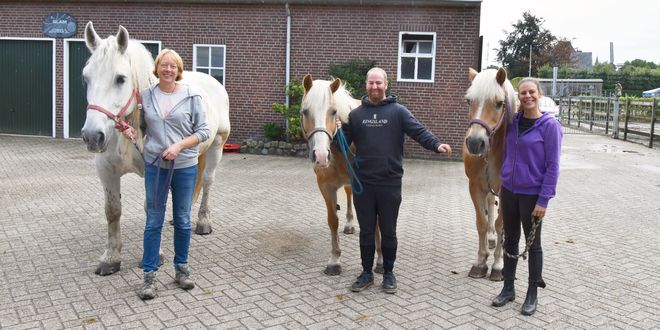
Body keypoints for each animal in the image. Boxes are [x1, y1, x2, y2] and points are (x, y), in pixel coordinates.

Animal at [80, 21, 231, 276]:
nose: (92, 136)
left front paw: (154, 256)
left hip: (217, 146)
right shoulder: (106, 171)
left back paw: (203, 223)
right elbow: (112, 211)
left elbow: (152, 208)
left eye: (121, 78)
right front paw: (110, 258)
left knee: (207, 181)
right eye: (85, 78)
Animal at [302, 75, 384, 276]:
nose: (321, 156)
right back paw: (349, 224)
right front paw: (334, 260)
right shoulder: (325, 187)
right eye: (305, 111)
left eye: (333, 112)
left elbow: (375, 221)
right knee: (348, 195)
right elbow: (332, 221)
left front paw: (379, 261)